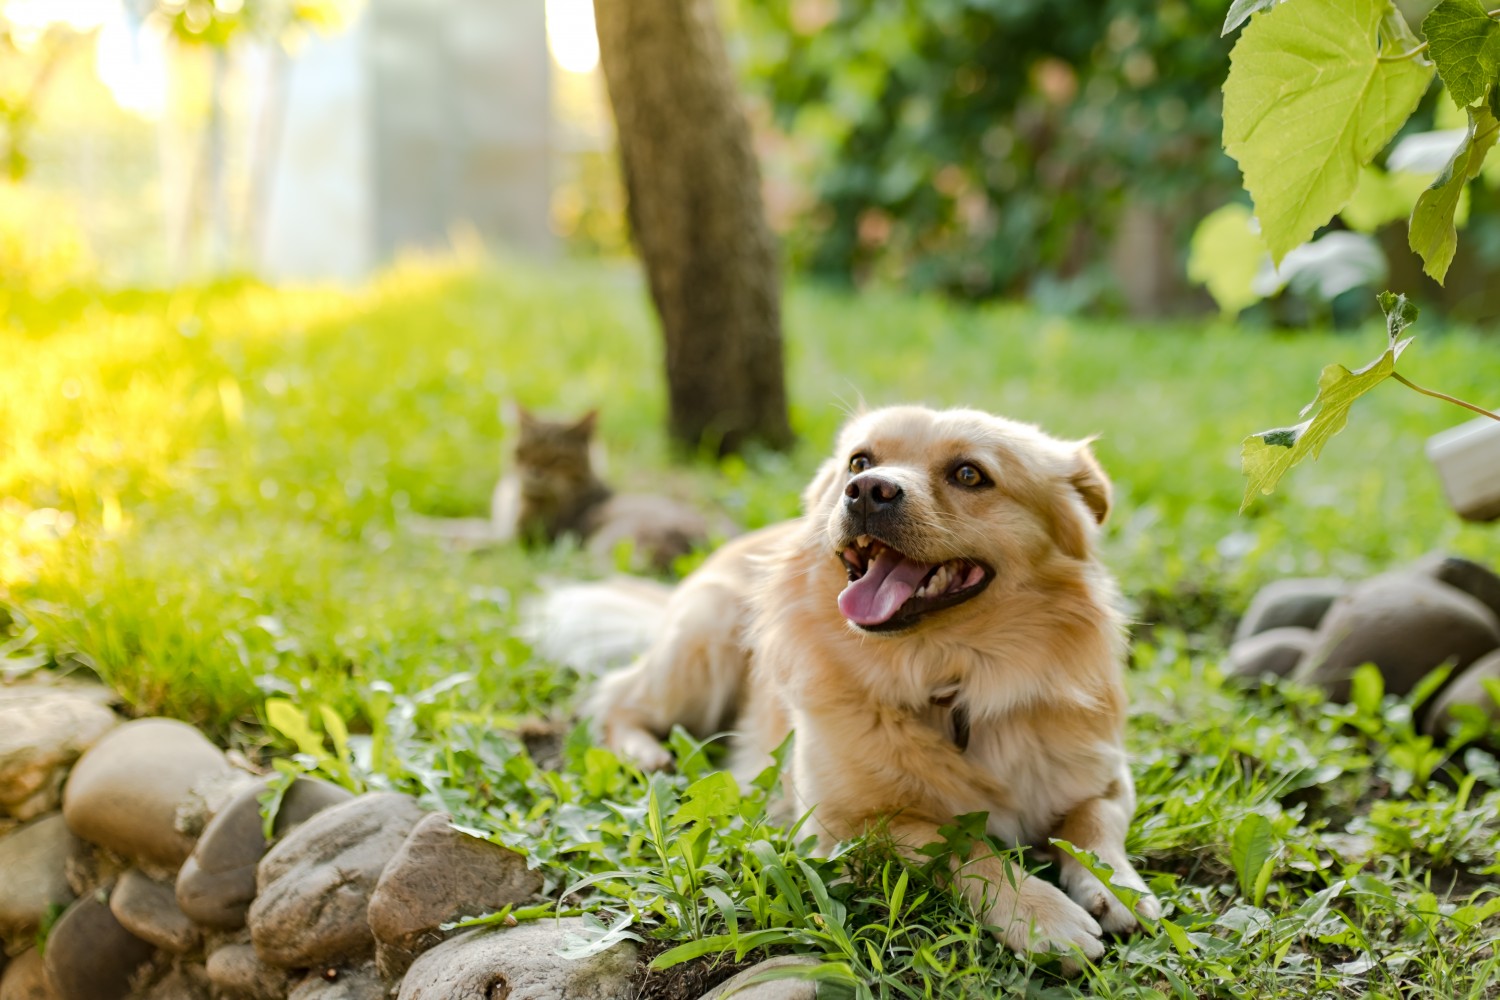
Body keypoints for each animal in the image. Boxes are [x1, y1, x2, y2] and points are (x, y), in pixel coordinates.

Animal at [573, 407, 1158, 971]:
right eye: (859, 462)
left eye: (969, 474)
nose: (868, 490)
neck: (952, 680)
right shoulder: (842, 823)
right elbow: (960, 845)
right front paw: (1041, 915)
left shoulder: (1107, 775)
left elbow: (1093, 823)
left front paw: (1116, 887)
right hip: (704, 638)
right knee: (617, 697)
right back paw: (643, 752)